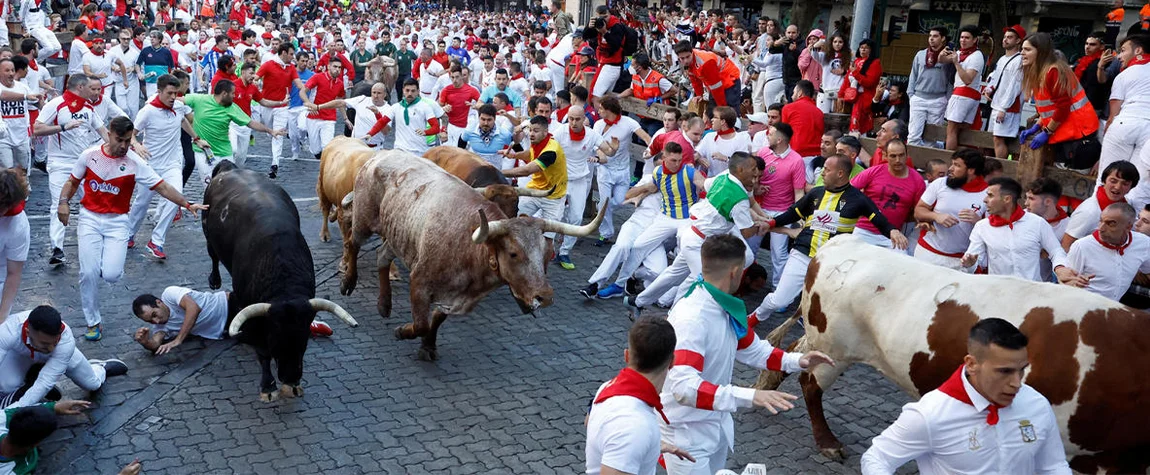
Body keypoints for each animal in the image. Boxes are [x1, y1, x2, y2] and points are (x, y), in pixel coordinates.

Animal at [200, 159, 356, 400]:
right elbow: (262, 354)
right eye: (275, 339)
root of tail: (229, 167)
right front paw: (268, 386)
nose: (291, 376)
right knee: (213, 256)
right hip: (207, 233)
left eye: (304, 340)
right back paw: (214, 280)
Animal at [335, 150, 607, 358]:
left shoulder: (454, 299)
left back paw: (384, 304)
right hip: (364, 219)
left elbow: (435, 320)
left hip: (399, 234)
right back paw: (348, 281)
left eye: (546, 254)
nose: (545, 296)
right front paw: (403, 331)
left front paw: (428, 347)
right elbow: (421, 324)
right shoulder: (419, 283)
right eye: (513, 253)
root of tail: (381, 155)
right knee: (352, 243)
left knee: (382, 255)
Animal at [763, 234, 1150, 471]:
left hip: (822, 341)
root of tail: (843, 242)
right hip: (834, 348)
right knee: (810, 383)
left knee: (793, 351)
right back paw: (827, 441)